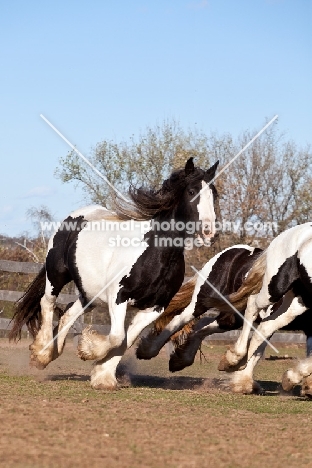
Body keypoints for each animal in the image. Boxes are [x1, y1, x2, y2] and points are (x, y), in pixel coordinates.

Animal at [10, 159, 219, 390]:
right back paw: (42, 354)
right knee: (47, 303)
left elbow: (127, 340)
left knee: (67, 315)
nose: (209, 232)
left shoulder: (156, 307)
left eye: (215, 194)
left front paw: (103, 375)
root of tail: (76, 215)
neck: (156, 253)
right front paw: (88, 350)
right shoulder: (118, 297)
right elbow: (118, 336)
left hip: (89, 294)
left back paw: (54, 351)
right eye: (192, 191)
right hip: (56, 274)